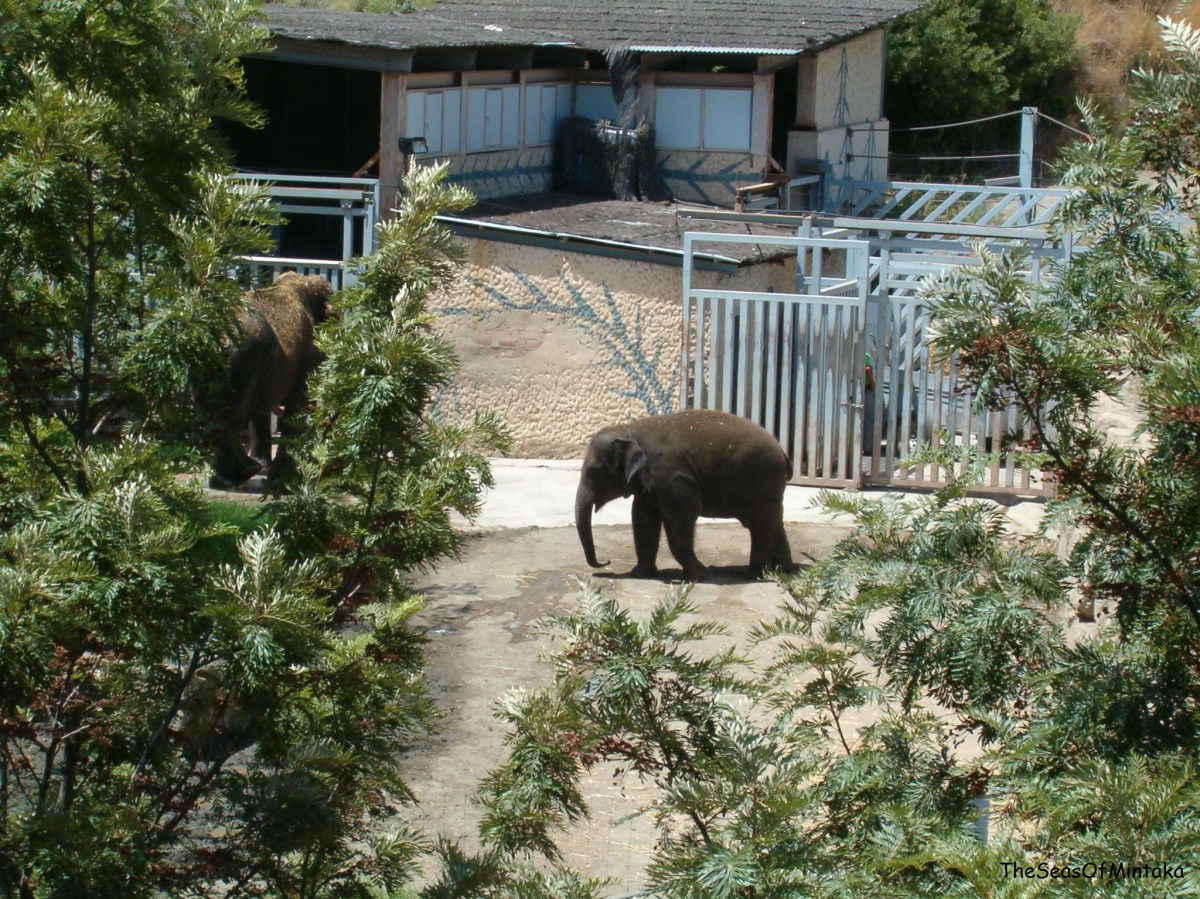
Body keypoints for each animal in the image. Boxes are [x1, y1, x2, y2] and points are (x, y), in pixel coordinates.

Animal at [209, 272, 333, 489]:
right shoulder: (306, 352)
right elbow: (296, 405)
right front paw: (284, 480)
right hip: (244, 362)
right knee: (232, 418)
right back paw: (239, 476)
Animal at [574, 409, 795, 581]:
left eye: (592, 472)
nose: (606, 562)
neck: (629, 429)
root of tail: (783, 451)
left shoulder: (671, 478)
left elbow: (681, 518)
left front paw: (699, 575)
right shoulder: (649, 485)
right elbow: (643, 520)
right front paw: (641, 574)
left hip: (764, 480)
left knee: (759, 524)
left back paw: (751, 574)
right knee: (773, 521)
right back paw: (782, 569)